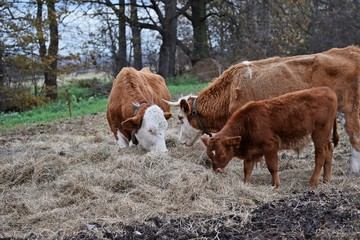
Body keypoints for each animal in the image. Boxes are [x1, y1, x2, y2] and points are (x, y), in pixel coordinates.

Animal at [165, 45, 360, 172]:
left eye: (180, 118)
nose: (180, 140)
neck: (230, 89)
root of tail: (350, 50)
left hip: (350, 109)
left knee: (355, 137)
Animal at [201, 86, 338, 188]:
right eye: (210, 155)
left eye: (222, 154)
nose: (217, 170)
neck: (248, 122)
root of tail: (328, 90)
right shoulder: (251, 152)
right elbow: (247, 169)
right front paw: (245, 184)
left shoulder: (271, 145)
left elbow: (272, 167)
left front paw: (276, 184)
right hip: (325, 136)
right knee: (329, 150)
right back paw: (327, 179)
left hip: (319, 134)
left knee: (320, 155)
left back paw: (313, 182)